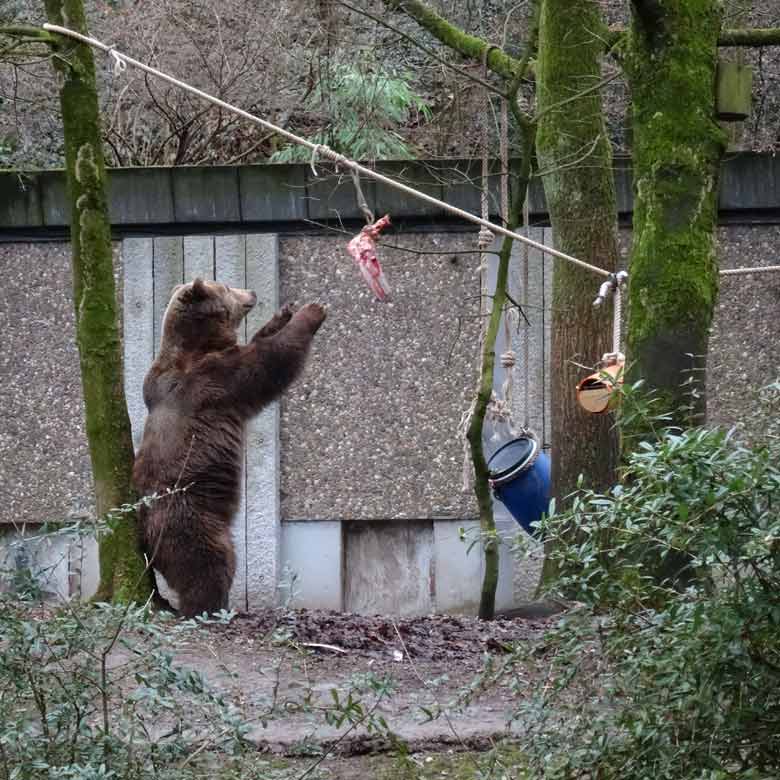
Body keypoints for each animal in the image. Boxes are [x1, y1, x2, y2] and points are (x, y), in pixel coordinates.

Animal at [132, 278, 326, 620]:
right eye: (224, 285)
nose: (252, 292)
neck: (199, 343)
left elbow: (260, 342)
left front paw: (283, 313)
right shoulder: (215, 381)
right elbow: (268, 362)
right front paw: (312, 311)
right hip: (190, 517)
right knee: (210, 563)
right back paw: (209, 609)